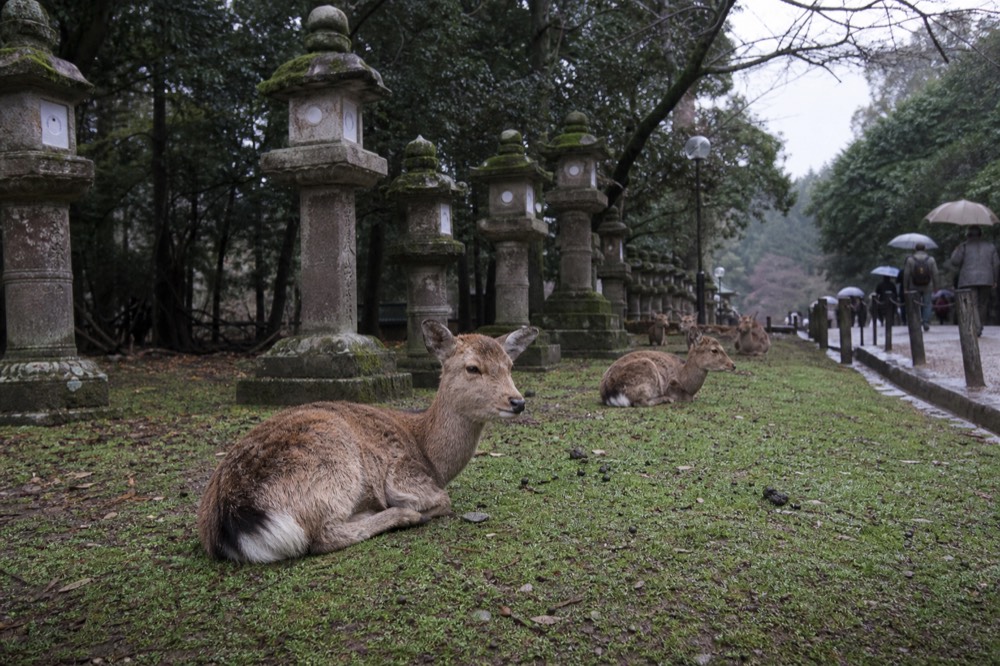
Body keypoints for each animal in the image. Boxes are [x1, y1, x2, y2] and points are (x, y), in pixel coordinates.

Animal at [197, 320, 538, 563]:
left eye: (510, 366)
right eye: (472, 367)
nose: (518, 402)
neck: (431, 456)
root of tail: (233, 514)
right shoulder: (404, 475)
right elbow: (442, 500)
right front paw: (413, 508)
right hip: (335, 463)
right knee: (321, 536)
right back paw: (399, 515)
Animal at [599, 335, 735, 407]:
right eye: (714, 350)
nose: (733, 365)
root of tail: (608, 392)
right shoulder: (671, 386)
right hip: (646, 374)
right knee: (640, 402)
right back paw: (666, 399)